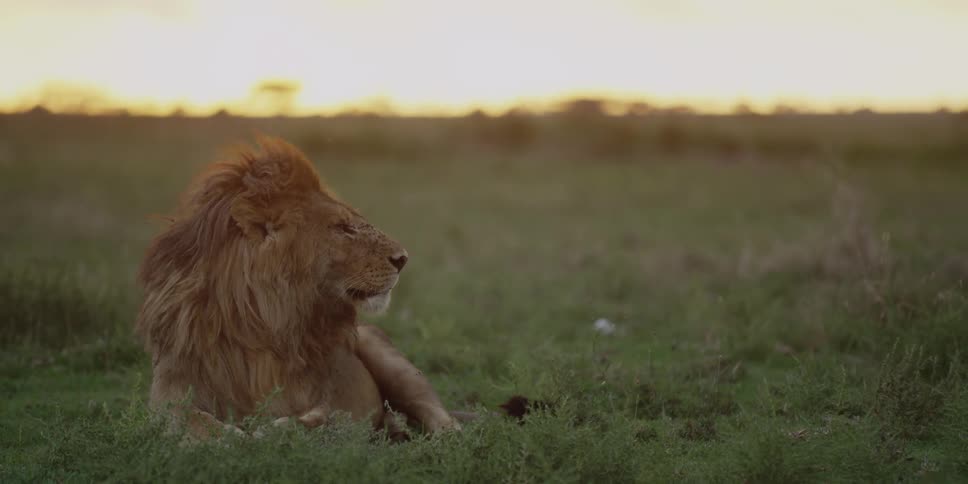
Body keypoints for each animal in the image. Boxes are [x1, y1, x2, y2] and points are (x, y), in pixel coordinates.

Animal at [135, 137, 460, 439]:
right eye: (343, 228)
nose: (403, 258)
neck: (261, 326)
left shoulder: (338, 396)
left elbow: (321, 420)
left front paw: (269, 432)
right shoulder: (171, 388)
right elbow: (192, 420)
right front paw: (230, 436)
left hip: (390, 359)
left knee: (436, 412)